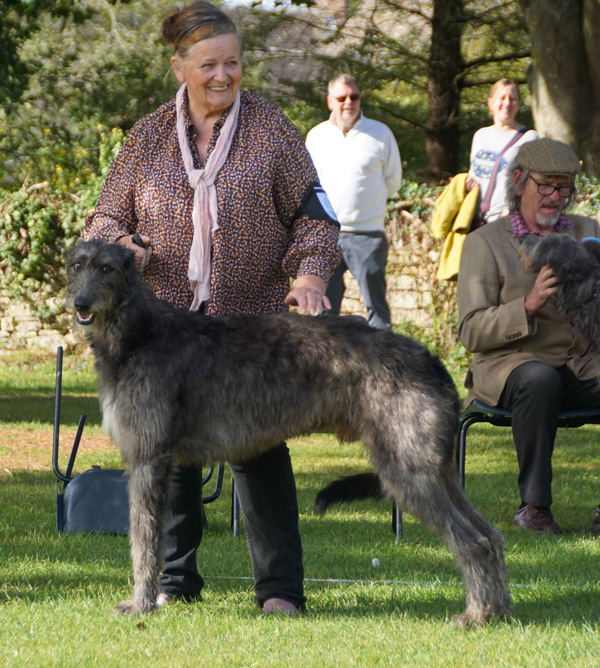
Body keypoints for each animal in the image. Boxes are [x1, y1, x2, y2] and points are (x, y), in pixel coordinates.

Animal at [67, 240, 510, 628]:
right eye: (76, 265)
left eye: (106, 268)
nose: (81, 304)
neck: (139, 332)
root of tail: (433, 362)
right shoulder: (163, 461)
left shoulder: (148, 459)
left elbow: (143, 540)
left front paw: (140, 605)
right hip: (436, 468)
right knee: (492, 535)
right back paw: (499, 611)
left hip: (407, 466)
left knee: (473, 541)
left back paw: (476, 616)